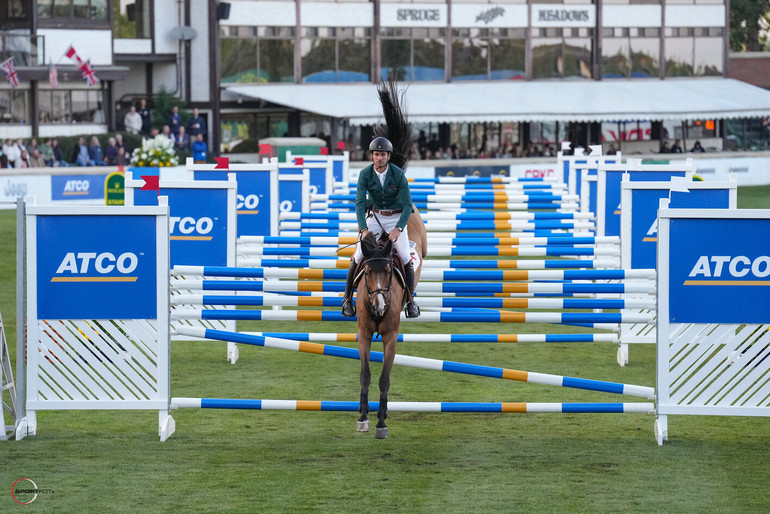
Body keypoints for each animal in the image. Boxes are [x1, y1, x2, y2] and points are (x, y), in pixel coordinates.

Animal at [356, 204, 426, 436]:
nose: (379, 305)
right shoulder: (364, 334)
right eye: (367, 271)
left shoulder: (391, 337)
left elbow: (384, 378)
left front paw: (380, 423)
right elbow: (365, 374)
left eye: (387, 271)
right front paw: (363, 417)